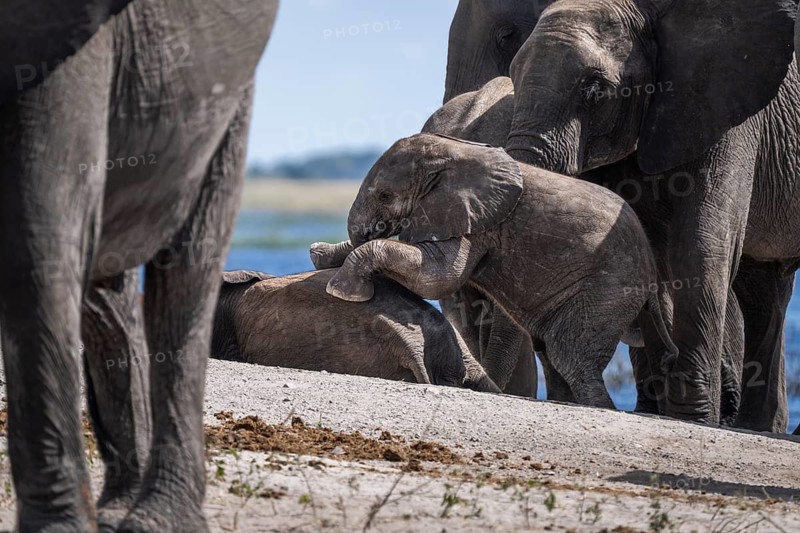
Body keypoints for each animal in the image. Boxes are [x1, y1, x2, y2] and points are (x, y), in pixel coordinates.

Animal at [319, 133, 679, 408]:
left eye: (385, 195)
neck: (450, 153)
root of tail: (651, 276)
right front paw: (320, 254)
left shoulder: (476, 220)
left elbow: (439, 277)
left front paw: (341, 290)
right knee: (553, 351)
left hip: (611, 289)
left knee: (570, 356)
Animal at [504, 0, 799, 431]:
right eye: (511, 73)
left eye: (595, 89)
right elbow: (643, 245)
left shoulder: (730, 107)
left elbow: (699, 241)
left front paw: (693, 418)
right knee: (764, 287)